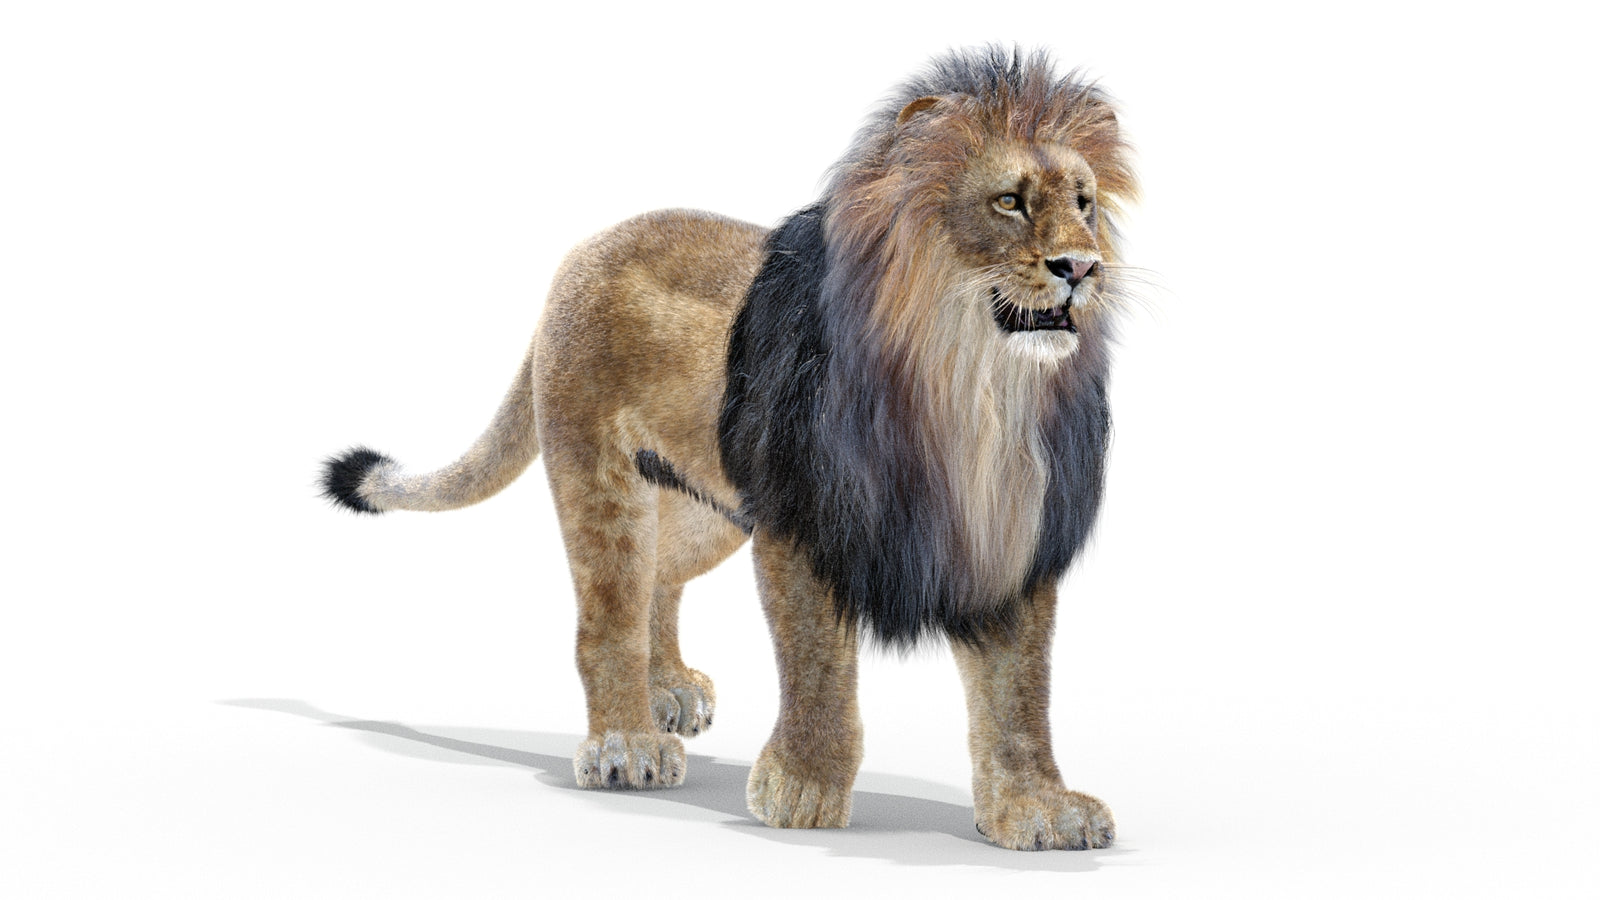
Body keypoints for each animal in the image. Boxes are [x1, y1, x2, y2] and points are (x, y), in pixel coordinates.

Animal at [320, 46, 1139, 851]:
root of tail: (582, 254)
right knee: (608, 615)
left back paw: (668, 688)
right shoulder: (804, 525)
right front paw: (803, 789)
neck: (977, 390)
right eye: (1010, 201)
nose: (1081, 266)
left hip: (710, 506)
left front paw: (1038, 810)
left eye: (1084, 203)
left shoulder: (1011, 538)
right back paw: (626, 744)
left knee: (658, 577)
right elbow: (817, 665)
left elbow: (1018, 695)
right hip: (602, 481)